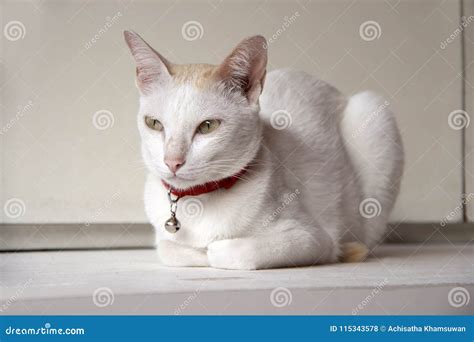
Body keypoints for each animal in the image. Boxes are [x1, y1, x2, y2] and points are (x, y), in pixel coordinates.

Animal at [123, 30, 404, 270]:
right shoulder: (163, 240)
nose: (172, 161)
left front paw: (212, 249)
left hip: (373, 111)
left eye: (207, 126)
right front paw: (197, 251)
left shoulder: (313, 238)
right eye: (154, 123)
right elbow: (169, 248)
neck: (198, 201)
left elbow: (229, 251)